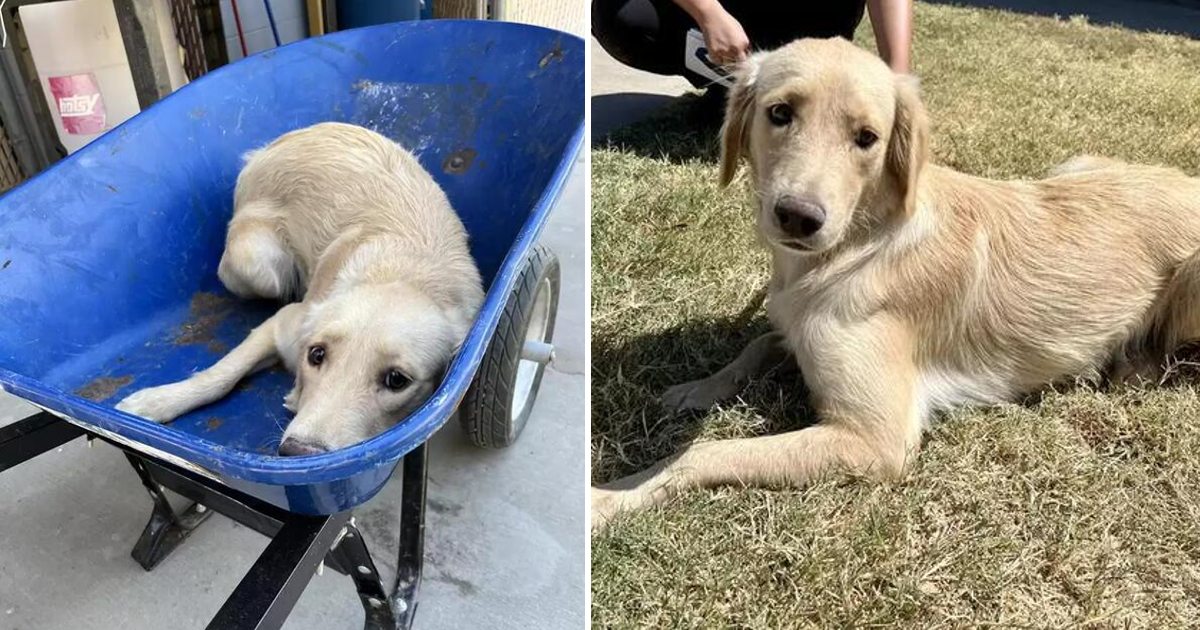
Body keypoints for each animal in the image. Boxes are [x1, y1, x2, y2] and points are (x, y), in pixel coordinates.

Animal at [115, 121, 482, 451]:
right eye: (316, 355)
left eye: (396, 380)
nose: (297, 452)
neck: (403, 275)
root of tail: (281, 141)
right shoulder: (283, 323)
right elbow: (220, 375)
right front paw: (157, 401)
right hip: (257, 266)